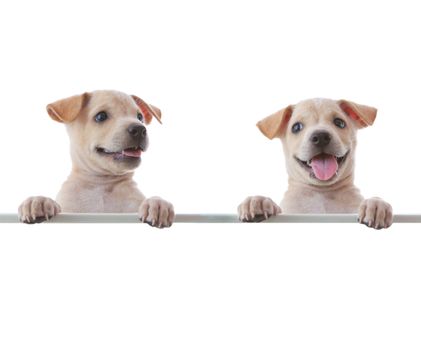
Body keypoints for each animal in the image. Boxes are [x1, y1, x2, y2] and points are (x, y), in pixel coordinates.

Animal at [19, 89, 174, 228]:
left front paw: (158, 203)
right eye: (101, 116)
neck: (101, 185)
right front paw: (39, 201)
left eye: (140, 117)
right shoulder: (70, 209)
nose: (140, 129)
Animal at [238, 98, 392, 230]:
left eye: (339, 123)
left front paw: (376, 204)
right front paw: (259, 201)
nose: (321, 137)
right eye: (296, 127)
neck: (322, 193)